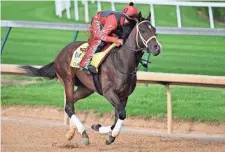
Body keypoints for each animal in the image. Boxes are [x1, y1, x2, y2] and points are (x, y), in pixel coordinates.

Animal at [21, 11, 162, 145]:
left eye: (154, 30)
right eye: (143, 30)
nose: (157, 48)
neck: (122, 61)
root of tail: (60, 54)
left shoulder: (124, 95)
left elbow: (118, 117)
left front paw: (103, 131)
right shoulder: (109, 92)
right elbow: (121, 114)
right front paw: (107, 133)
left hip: (86, 88)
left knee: (71, 103)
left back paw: (71, 132)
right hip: (67, 79)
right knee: (68, 107)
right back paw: (83, 134)